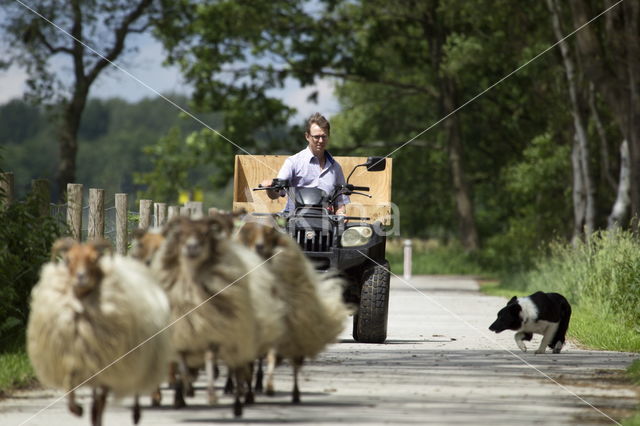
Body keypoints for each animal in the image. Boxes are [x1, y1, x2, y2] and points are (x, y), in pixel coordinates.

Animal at [26, 238, 171, 424]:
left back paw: (140, 410)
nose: (81, 277)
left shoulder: (109, 364)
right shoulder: (76, 360)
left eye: (94, 259)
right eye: (68, 259)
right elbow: (72, 388)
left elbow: (100, 401)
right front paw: (77, 410)